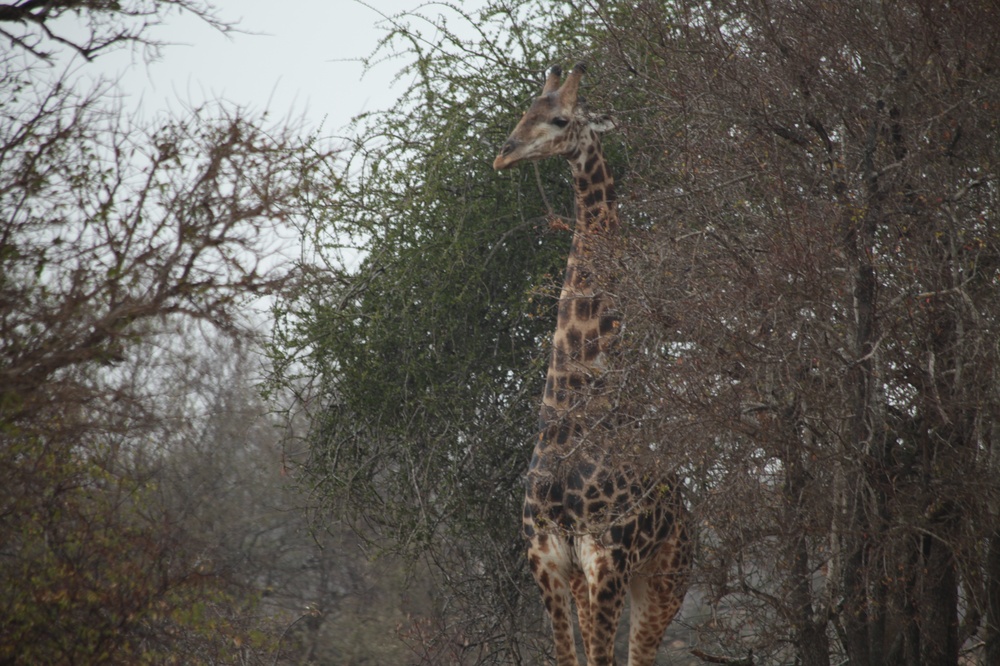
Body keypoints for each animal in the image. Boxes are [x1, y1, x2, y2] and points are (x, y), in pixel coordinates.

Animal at [494, 63, 696, 664]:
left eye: (561, 119)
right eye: (526, 109)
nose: (504, 155)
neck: (569, 412)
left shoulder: (607, 560)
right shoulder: (547, 561)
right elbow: (567, 656)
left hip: (664, 581)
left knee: (640, 653)